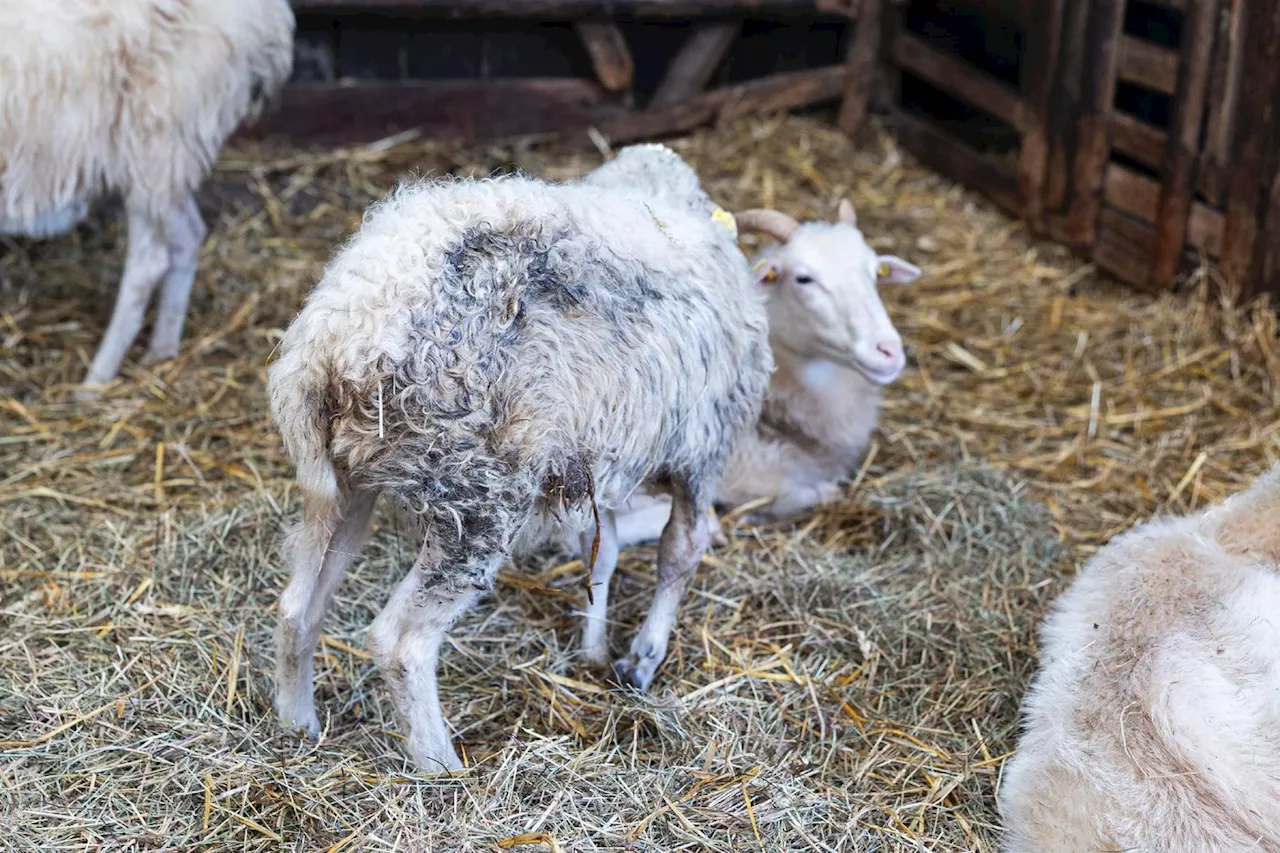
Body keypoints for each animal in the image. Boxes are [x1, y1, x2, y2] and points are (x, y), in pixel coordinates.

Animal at [1, 0, 294, 391]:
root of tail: (265, 15)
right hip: (169, 150)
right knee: (188, 235)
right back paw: (161, 350)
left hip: (154, 131)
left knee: (149, 262)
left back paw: (96, 380)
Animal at [267, 149, 768, 768]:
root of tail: (333, 344)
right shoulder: (702, 448)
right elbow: (681, 550)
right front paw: (642, 659)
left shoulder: (593, 457)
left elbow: (602, 552)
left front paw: (594, 649)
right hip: (477, 493)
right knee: (400, 642)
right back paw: (440, 766)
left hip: (345, 481)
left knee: (298, 605)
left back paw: (298, 724)